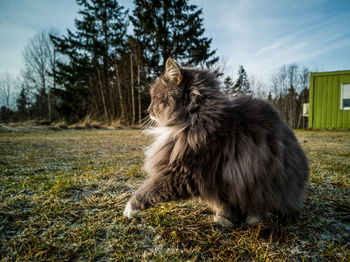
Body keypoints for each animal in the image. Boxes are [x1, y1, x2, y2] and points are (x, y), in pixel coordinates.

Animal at [123, 58, 308, 226]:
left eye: (155, 98)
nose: (148, 110)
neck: (195, 118)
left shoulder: (186, 172)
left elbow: (150, 189)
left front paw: (129, 208)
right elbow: (224, 204)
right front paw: (225, 218)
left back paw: (253, 219)